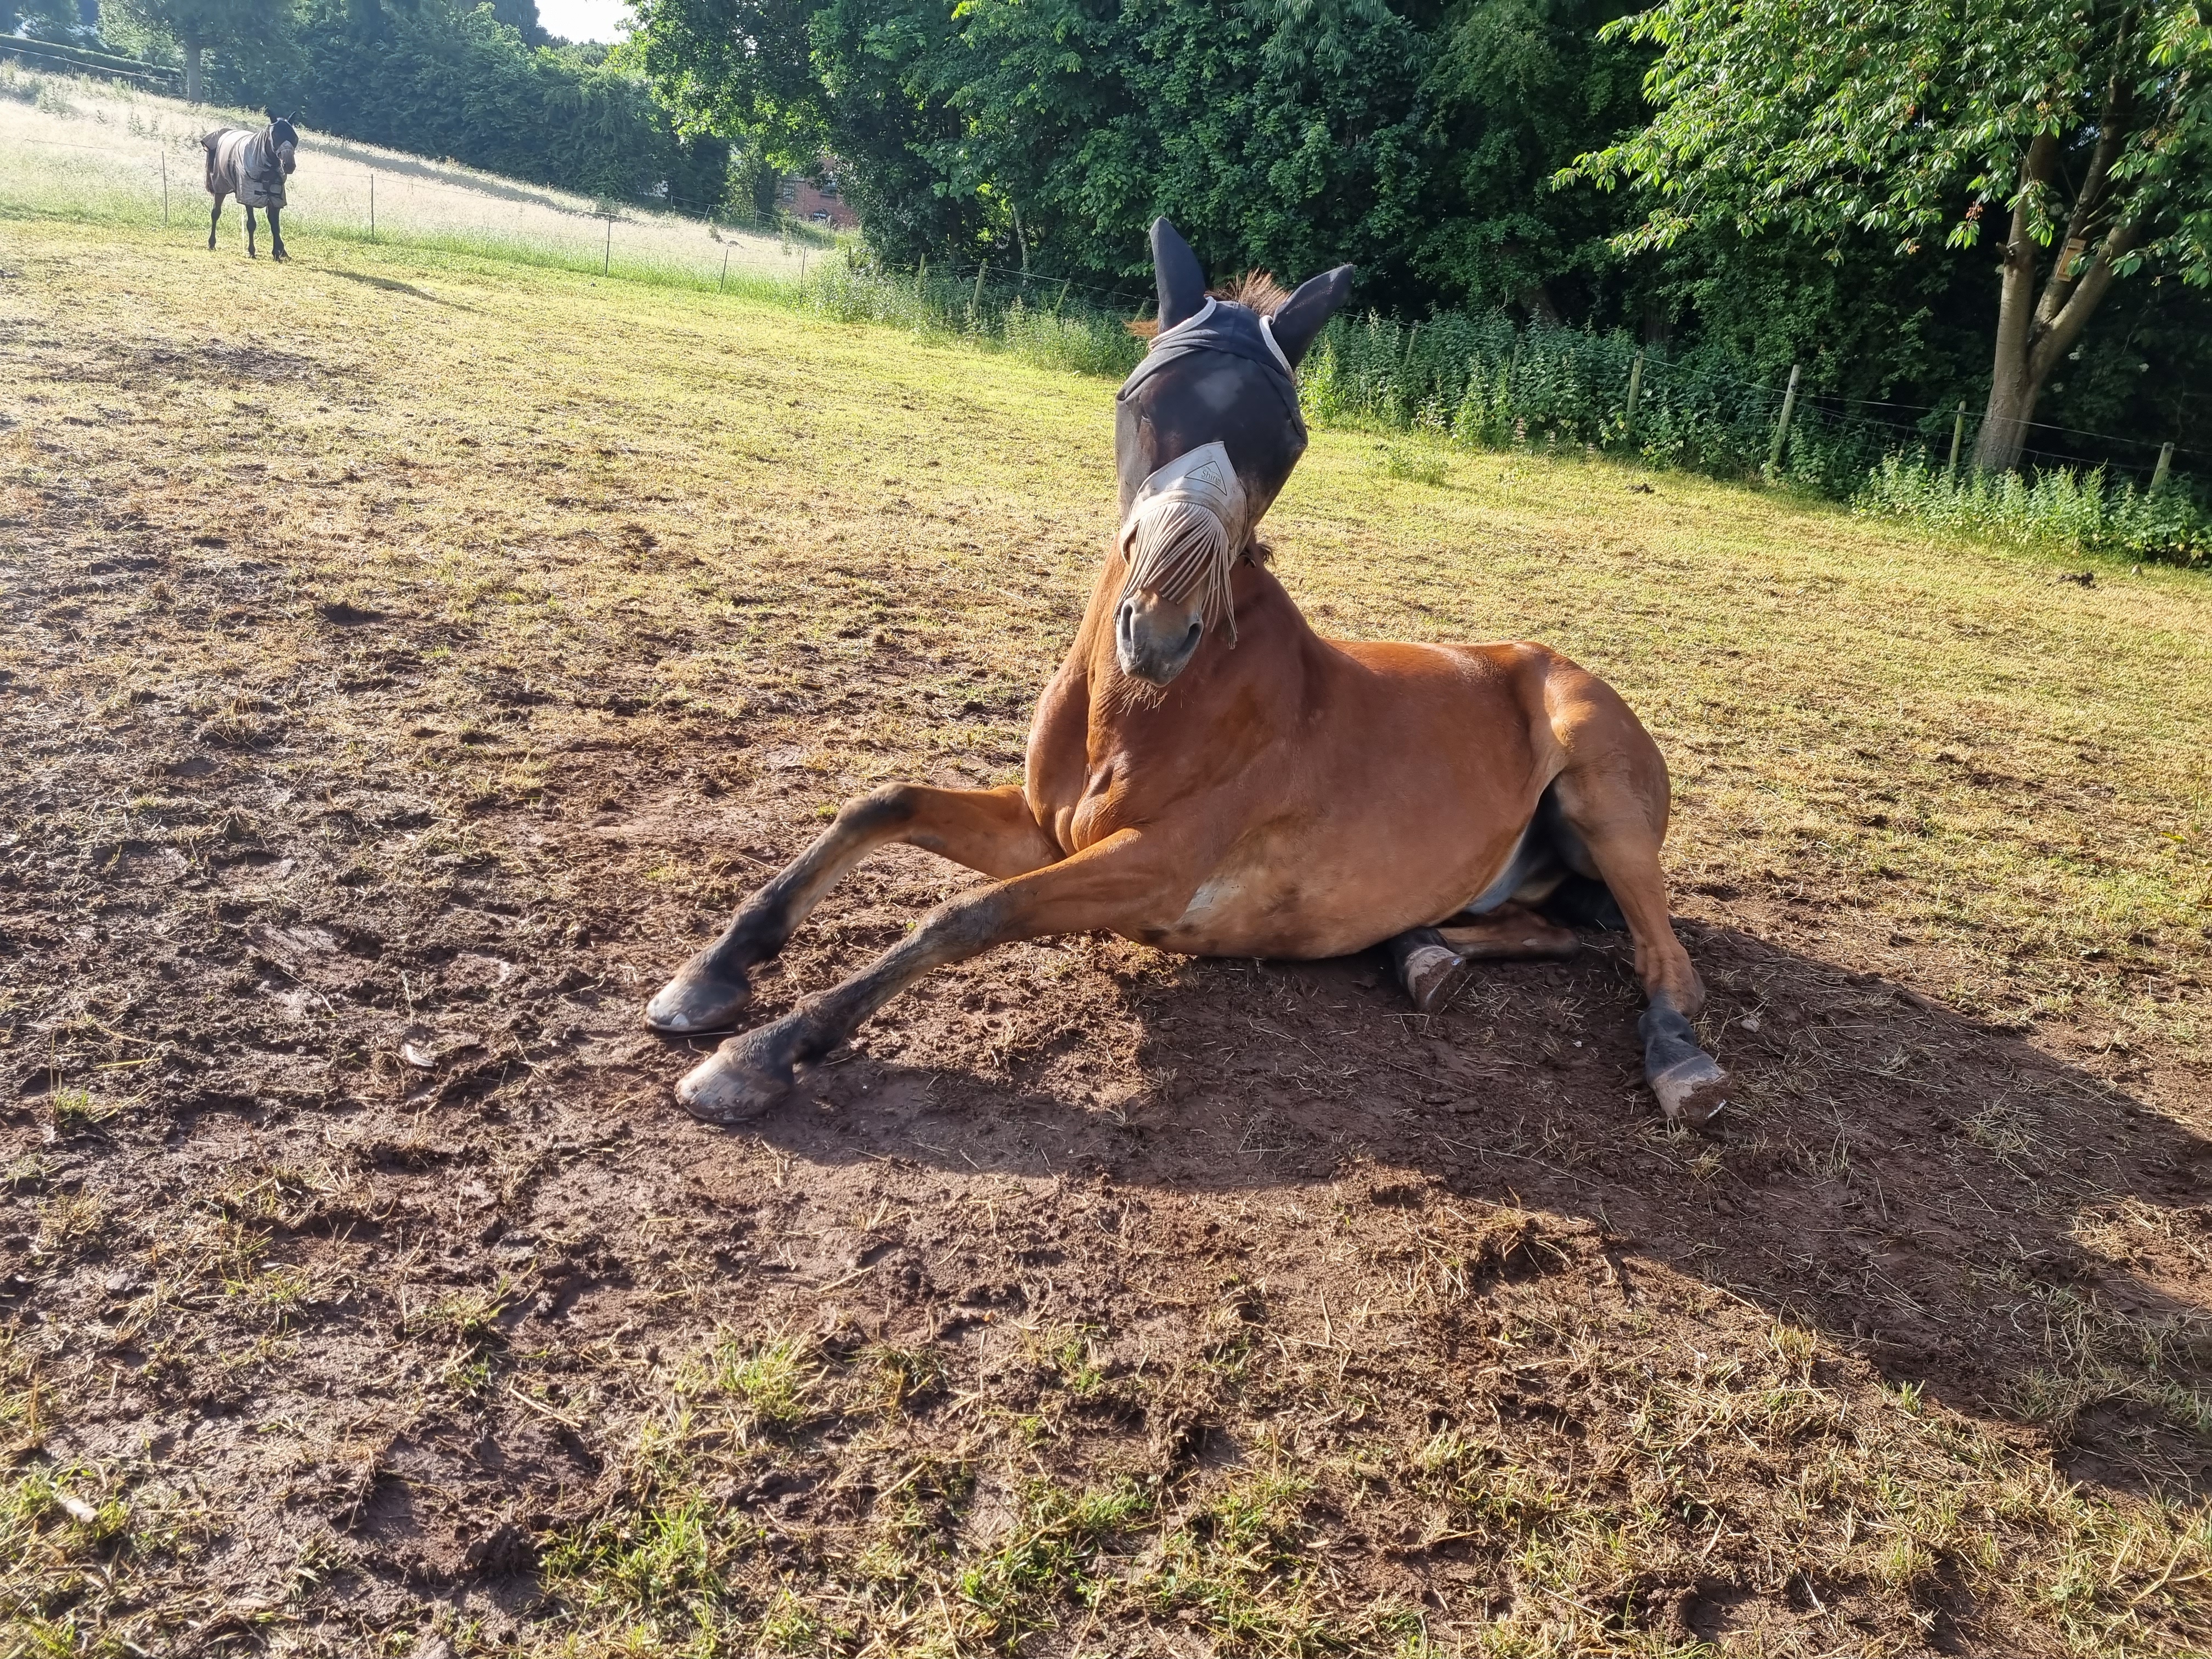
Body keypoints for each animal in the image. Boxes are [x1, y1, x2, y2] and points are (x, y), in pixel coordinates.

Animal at [201, 119, 298, 259]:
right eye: (275, 135)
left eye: (295, 137)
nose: (289, 165)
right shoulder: (249, 196)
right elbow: (251, 224)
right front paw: (252, 251)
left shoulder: (276, 198)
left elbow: (275, 225)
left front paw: (278, 252)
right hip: (221, 188)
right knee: (216, 213)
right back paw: (212, 243)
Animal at [646, 218, 1734, 1132]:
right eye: (1136, 402)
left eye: (1289, 440)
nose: (1161, 633)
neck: (1145, 710)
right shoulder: (1044, 829)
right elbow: (881, 802)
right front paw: (711, 975)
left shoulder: (1152, 868)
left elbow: (965, 914)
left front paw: (760, 1053)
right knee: (1547, 932)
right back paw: (1419, 953)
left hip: (1605, 806)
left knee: (1664, 964)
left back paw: (1678, 1059)